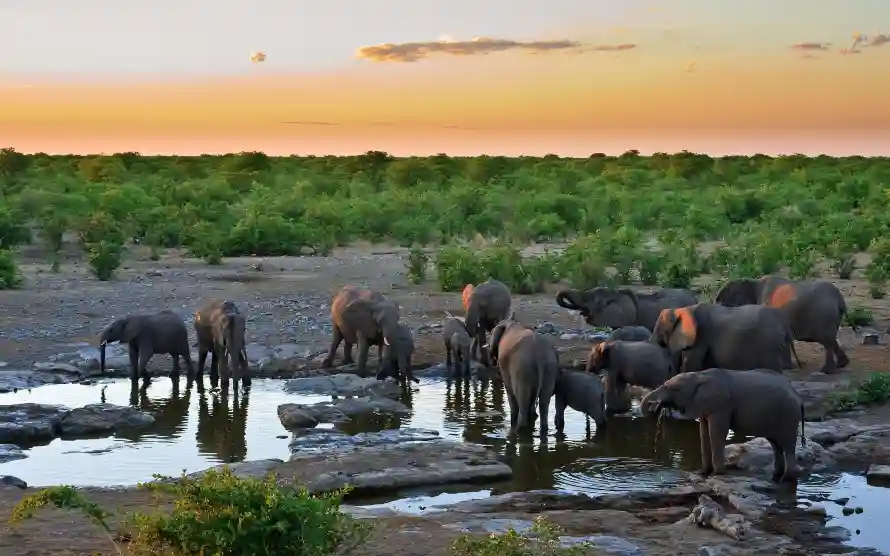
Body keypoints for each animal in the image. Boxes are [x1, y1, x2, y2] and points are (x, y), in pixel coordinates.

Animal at [639, 368, 806, 482]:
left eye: (674, 389)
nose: (654, 407)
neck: (699, 375)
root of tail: (798, 395)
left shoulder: (722, 406)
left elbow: (716, 432)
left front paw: (716, 474)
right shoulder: (703, 405)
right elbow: (703, 432)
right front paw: (702, 473)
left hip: (788, 414)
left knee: (787, 444)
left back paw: (786, 479)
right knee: (776, 444)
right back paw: (776, 476)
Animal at [651, 303, 801, 375]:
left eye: (660, 331)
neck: (681, 309)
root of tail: (784, 322)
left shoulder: (701, 335)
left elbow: (691, 363)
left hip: (769, 345)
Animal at [714, 275, 853, 374]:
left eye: (723, 301)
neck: (753, 283)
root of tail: (838, 297)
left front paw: (784, 368)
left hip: (823, 314)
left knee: (827, 341)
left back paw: (826, 371)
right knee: (831, 339)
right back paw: (842, 364)